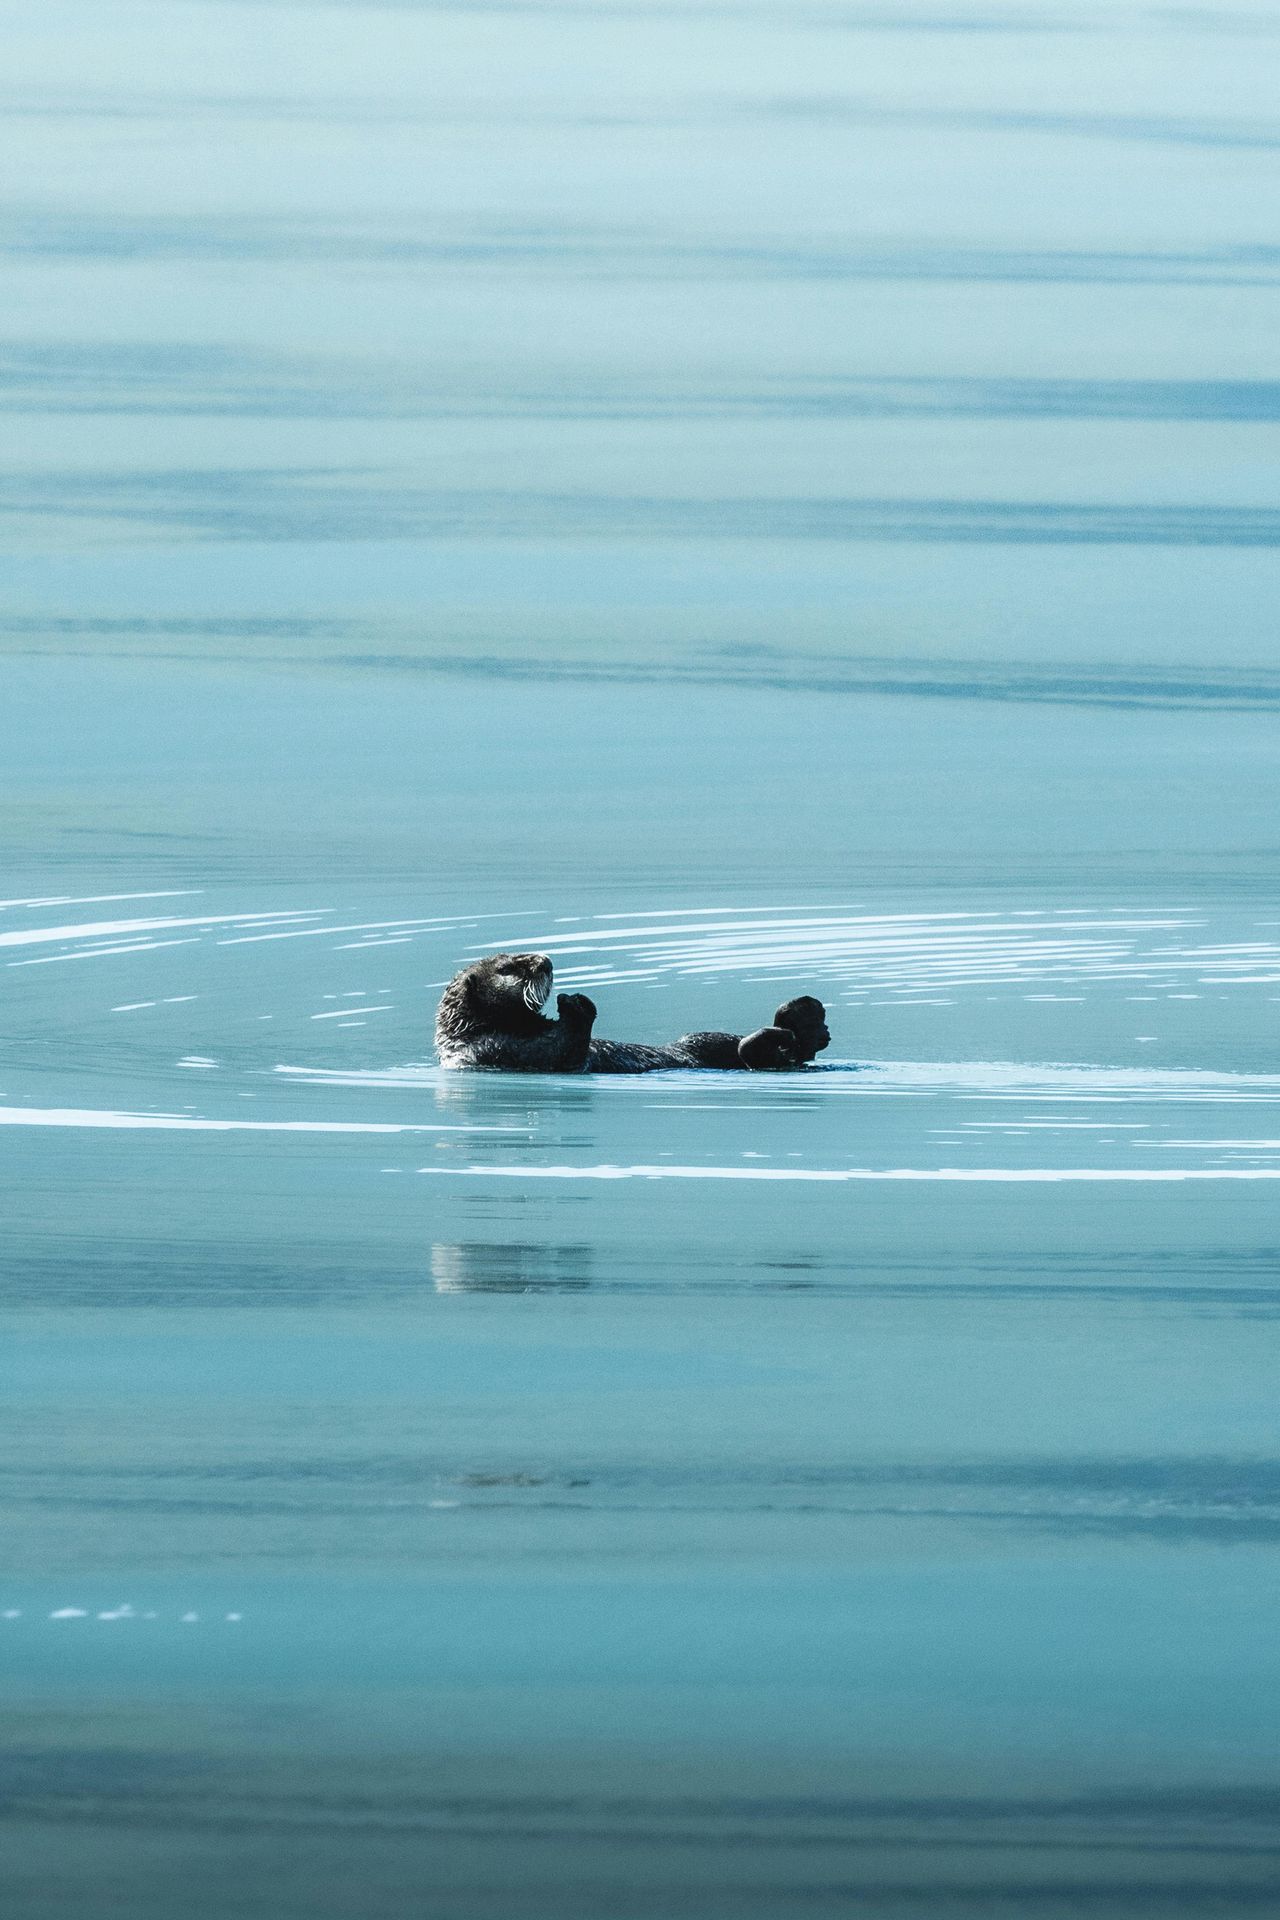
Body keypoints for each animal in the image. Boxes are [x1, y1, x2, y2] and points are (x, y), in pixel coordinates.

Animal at [435, 952, 830, 1074]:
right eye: (508, 968)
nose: (546, 960)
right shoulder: (496, 1050)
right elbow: (564, 1051)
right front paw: (573, 1002)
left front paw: (570, 1000)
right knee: (762, 1054)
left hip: (701, 1039)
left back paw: (806, 1017)